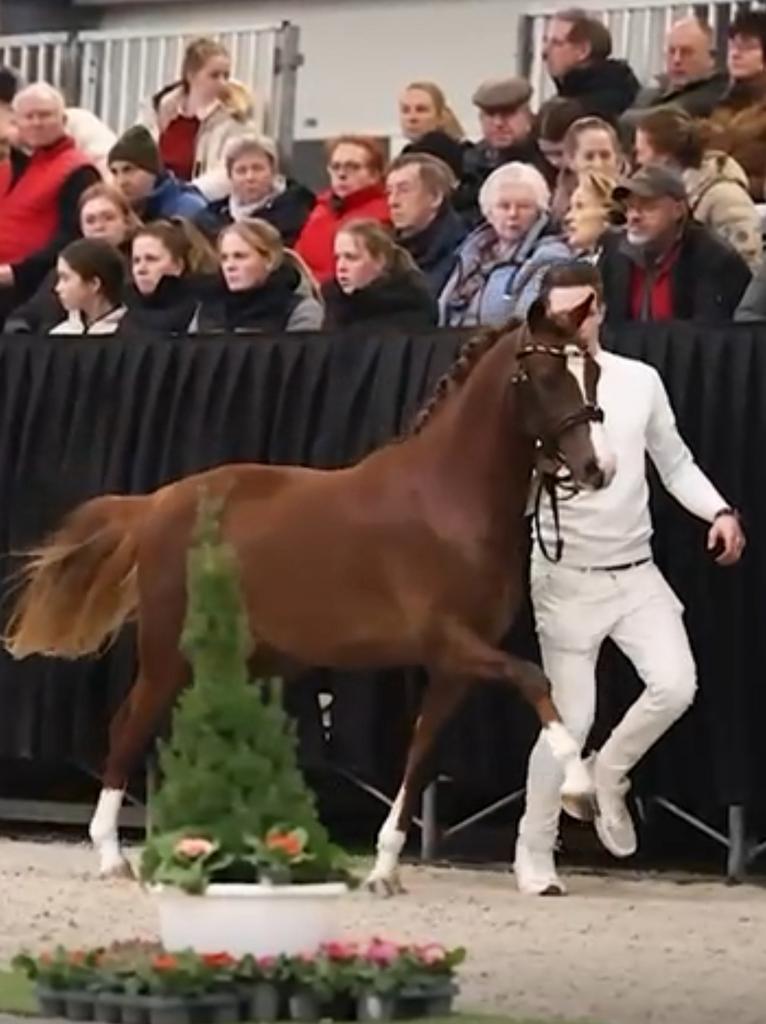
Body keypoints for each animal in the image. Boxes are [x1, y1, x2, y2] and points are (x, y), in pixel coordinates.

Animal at [3, 295, 615, 892]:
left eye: (594, 372)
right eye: (545, 375)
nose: (597, 469)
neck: (447, 499)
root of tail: (154, 504)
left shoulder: (454, 665)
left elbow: (421, 752)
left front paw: (384, 868)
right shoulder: (451, 641)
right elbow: (534, 680)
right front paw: (581, 792)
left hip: (244, 657)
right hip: (167, 654)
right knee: (128, 726)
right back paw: (113, 856)